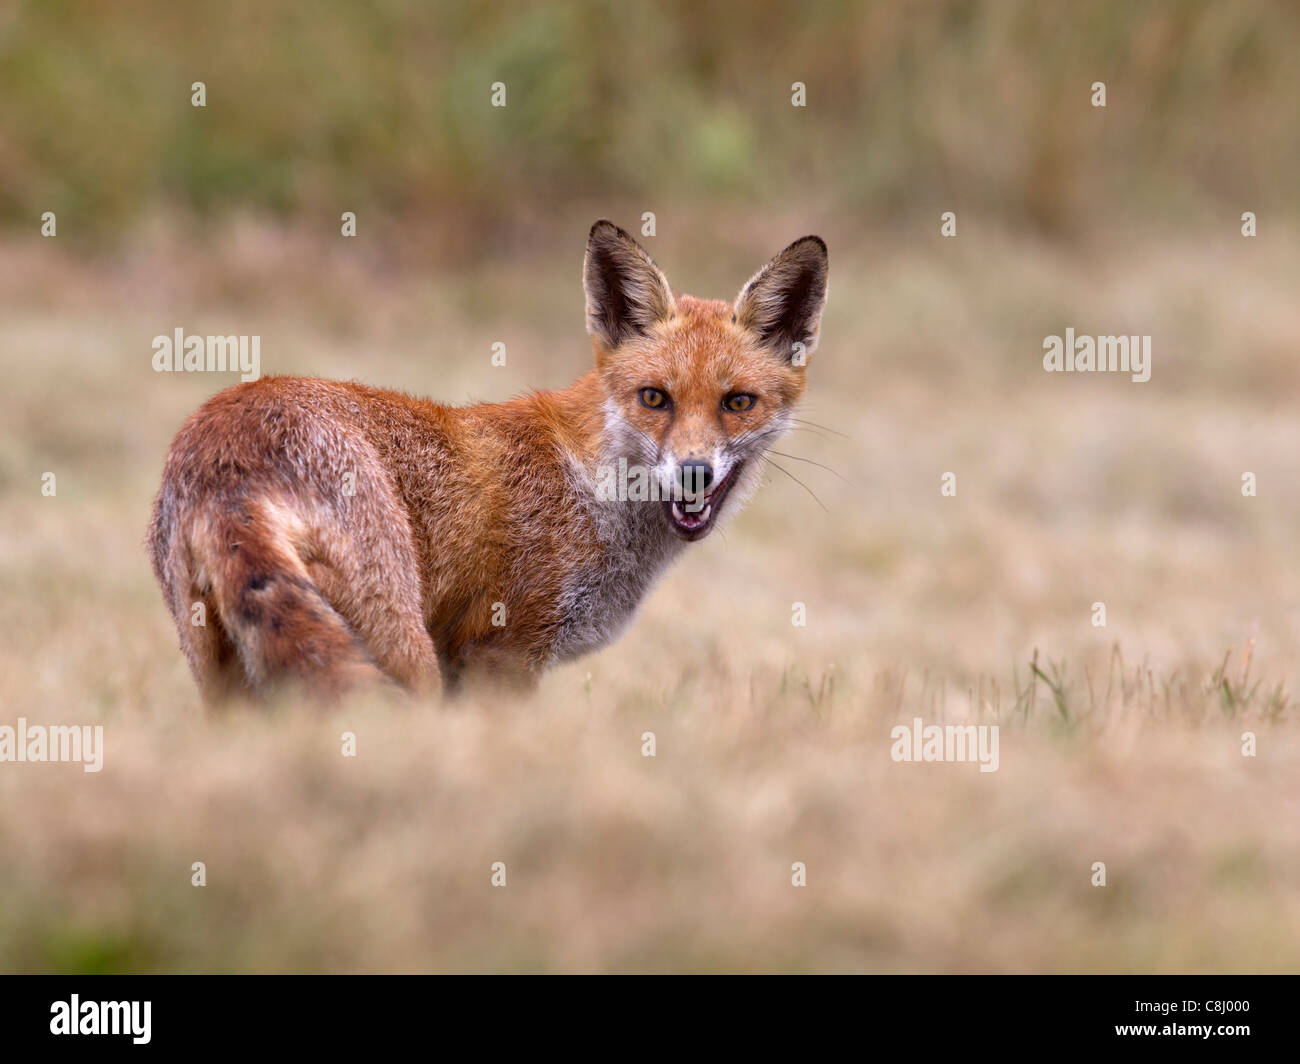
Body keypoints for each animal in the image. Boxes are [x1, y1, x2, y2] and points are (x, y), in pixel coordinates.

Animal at [147, 221, 828, 704]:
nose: (693, 472)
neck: (589, 487)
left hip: (226, 678)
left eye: (737, 402)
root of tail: (226, 452)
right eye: (654, 398)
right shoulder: (502, 652)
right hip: (404, 650)